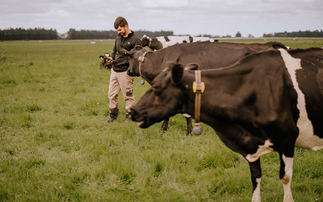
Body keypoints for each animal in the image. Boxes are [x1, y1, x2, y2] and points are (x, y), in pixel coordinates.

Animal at [132, 47, 323, 202]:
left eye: (156, 87)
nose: (131, 111)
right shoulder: (250, 145)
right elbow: (255, 178)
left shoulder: (287, 139)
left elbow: (285, 177)